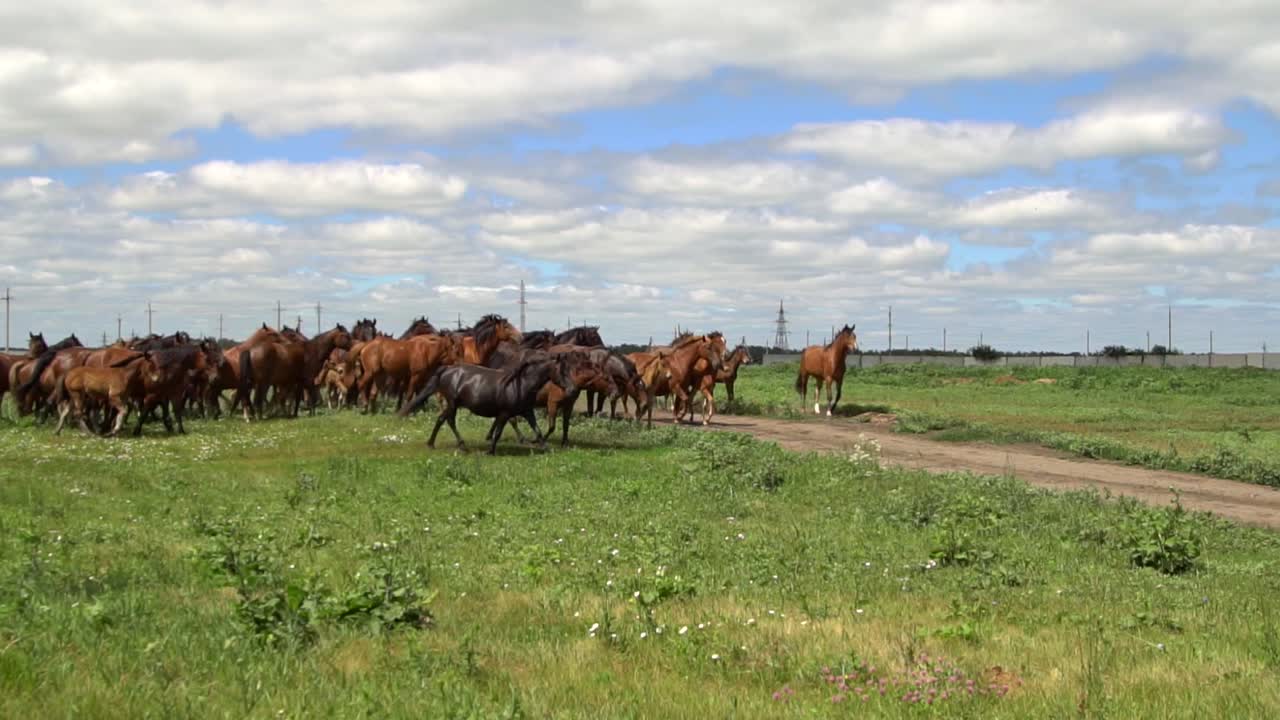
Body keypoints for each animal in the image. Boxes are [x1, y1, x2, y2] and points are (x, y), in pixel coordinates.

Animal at [398, 355, 577, 455]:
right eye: (562, 371)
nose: (572, 389)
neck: (520, 385)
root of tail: (447, 369)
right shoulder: (504, 414)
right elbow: (498, 432)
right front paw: (490, 451)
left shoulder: (527, 412)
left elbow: (538, 431)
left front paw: (546, 448)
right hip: (452, 403)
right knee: (449, 420)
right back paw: (462, 446)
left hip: (452, 404)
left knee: (441, 419)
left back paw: (432, 444)